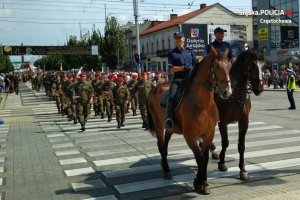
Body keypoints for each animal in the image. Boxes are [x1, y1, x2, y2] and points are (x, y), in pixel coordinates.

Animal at [147, 46, 232, 194]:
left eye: (230, 65)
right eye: (217, 66)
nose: (227, 92)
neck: (203, 104)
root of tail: (155, 87)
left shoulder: (209, 134)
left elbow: (205, 158)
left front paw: (204, 183)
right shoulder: (190, 135)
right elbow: (199, 158)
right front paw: (198, 182)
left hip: (170, 128)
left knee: (165, 143)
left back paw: (164, 163)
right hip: (158, 125)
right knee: (161, 145)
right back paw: (166, 170)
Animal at [211, 48, 264, 181]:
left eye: (263, 65)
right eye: (252, 65)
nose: (260, 88)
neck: (235, 93)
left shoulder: (244, 121)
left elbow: (241, 145)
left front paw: (243, 170)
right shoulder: (223, 122)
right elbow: (225, 142)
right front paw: (222, 163)